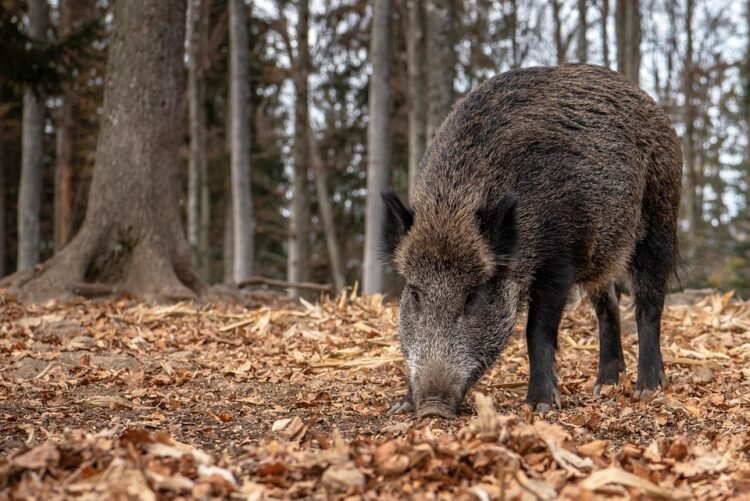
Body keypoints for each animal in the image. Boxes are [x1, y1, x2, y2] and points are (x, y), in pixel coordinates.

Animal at [382, 64, 682, 418]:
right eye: (415, 294)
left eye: (472, 296)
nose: (432, 409)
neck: (453, 205)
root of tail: (650, 103)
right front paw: (400, 407)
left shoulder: (558, 260)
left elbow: (536, 330)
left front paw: (540, 406)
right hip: (602, 253)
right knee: (608, 304)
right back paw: (605, 386)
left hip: (660, 218)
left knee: (648, 302)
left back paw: (647, 389)